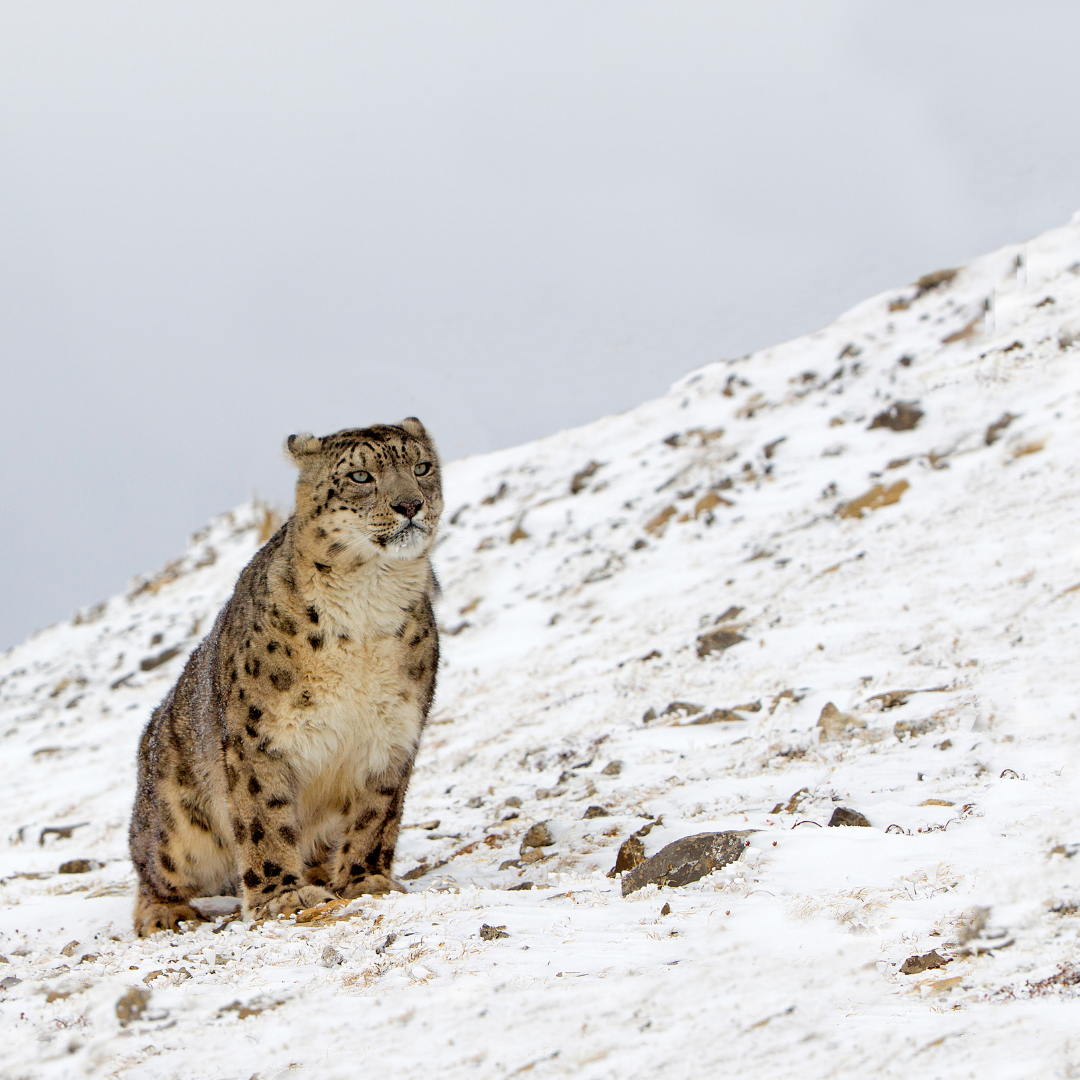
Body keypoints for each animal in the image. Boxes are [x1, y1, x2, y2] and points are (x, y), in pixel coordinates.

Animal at [128, 418, 442, 935]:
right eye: (360, 476)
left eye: (421, 467)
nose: (410, 504)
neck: (369, 607)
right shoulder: (260, 737)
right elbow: (265, 818)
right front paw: (282, 897)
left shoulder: (393, 733)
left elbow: (376, 814)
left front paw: (367, 881)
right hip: (176, 826)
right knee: (152, 862)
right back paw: (164, 912)